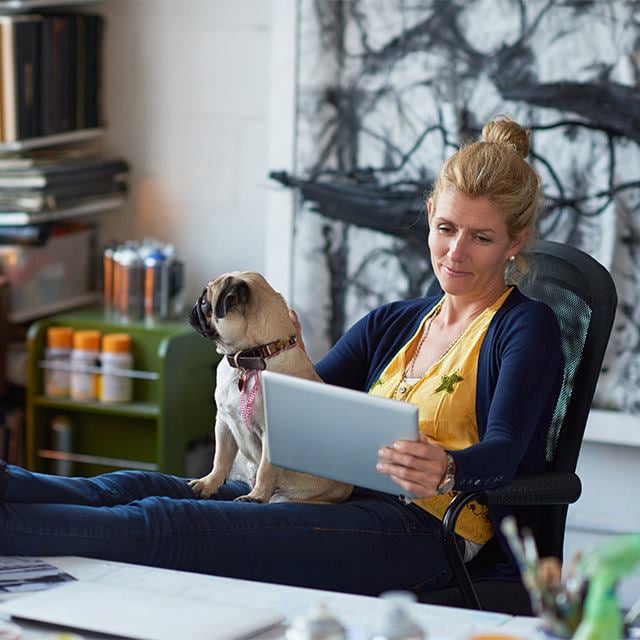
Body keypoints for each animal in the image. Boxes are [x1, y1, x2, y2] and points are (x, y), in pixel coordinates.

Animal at [188, 270, 352, 504]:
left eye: (204, 303)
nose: (193, 307)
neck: (249, 360)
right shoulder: (224, 423)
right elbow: (220, 458)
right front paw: (209, 483)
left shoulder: (270, 437)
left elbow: (266, 470)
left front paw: (256, 496)